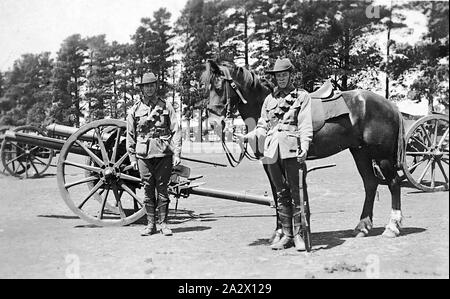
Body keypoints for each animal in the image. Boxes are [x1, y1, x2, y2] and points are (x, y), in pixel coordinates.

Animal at [202, 59, 406, 240]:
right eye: (208, 87)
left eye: (219, 87)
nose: (213, 123)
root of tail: (390, 105)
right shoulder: (269, 164)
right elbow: (277, 194)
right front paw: (281, 232)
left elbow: (283, 194)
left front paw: (286, 233)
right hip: (360, 152)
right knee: (370, 183)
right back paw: (362, 227)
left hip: (382, 156)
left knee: (393, 183)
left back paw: (392, 227)